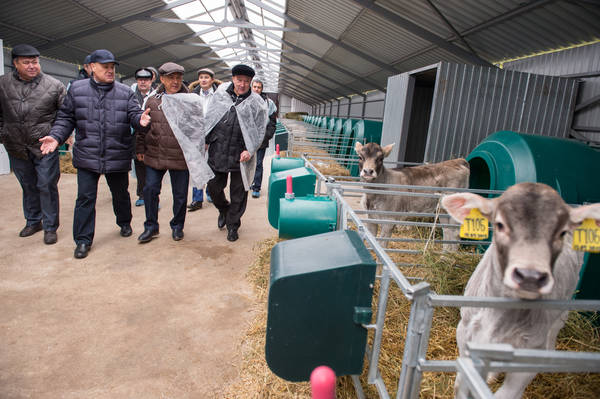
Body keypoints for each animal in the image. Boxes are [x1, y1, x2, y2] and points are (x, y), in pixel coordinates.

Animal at [440, 183, 600, 398]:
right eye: (500, 224)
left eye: (561, 232)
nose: (530, 276)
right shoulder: (465, 332)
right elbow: (462, 383)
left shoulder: (528, 355)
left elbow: (506, 394)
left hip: (565, 304)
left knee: (556, 328)